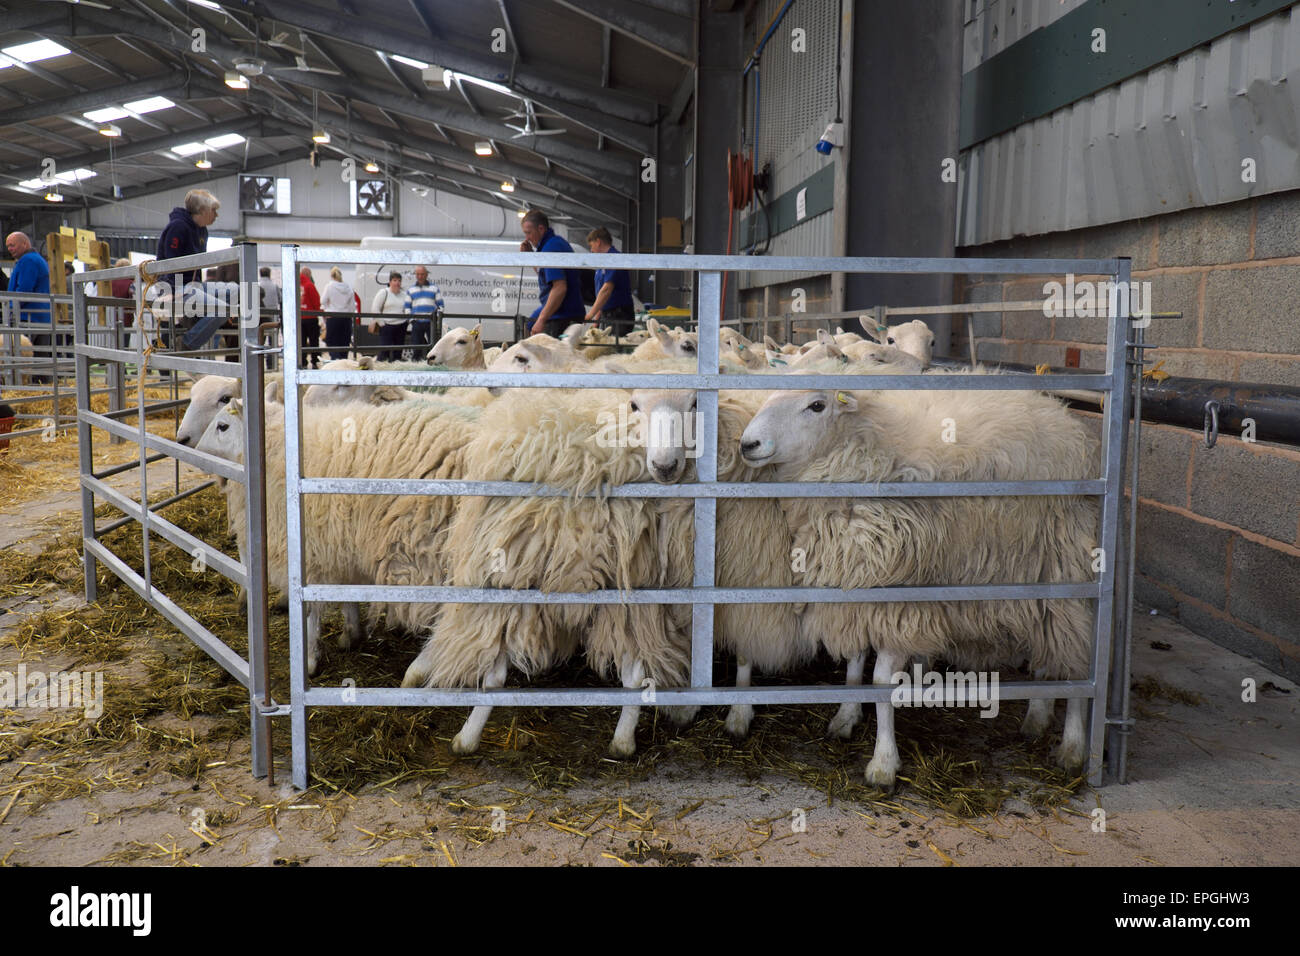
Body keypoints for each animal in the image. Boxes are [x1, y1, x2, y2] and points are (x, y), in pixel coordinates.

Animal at [743, 385, 1097, 790]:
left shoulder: (901, 602)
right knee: (1047, 653)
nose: (747, 444)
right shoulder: (857, 586)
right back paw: (1037, 716)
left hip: (1066, 572)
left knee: (1076, 659)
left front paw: (883, 763)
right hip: (1032, 581)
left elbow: (881, 681)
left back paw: (1072, 747)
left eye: (816, 405)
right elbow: (855, 662)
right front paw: (846, 716)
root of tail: (1061, 412)